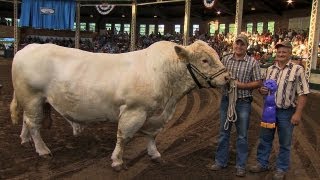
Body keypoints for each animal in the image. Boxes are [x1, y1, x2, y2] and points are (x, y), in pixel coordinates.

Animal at [10, 40, 230, 170]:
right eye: (205, 60)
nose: (228, 78)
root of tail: (26, 47)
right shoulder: (134, 111)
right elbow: (124, 136)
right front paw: (117, 160)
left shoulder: (156, 114)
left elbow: (152, 135)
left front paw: (155, 154)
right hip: (32, 97)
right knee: (34, 124)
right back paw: (42, 150)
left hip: (34, 100)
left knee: (27, 120)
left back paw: (25, 140)